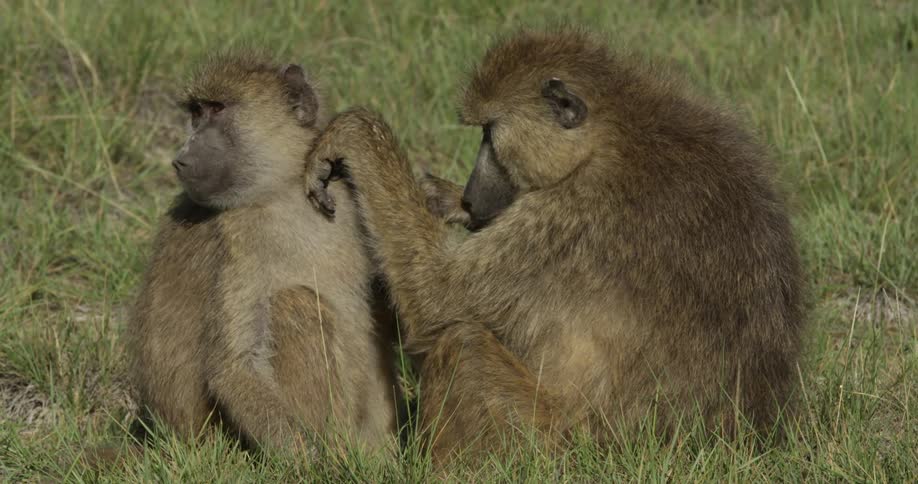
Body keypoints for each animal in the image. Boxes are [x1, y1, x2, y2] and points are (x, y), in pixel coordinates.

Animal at [125, 50, 399, 455]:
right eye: (197, 113)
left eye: (216, 109)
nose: (181, 157)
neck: (283, 194)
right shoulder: (238, 240)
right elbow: (234, 366)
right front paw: (315, 464)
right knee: (295, 304)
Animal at [306, 27, 804, 462]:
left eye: (489, 133)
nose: (472, 196)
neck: (613, 130)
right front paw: (438, 198)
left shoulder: (565, 222)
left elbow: (436, 298)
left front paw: (355, 134)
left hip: (551, 446)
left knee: (463, 343)